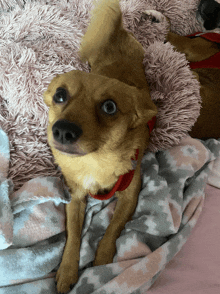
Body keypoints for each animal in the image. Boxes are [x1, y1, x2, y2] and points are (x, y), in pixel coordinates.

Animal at [43, 0, 156, 292]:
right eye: (60, 95)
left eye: (109, 107)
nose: (63, 130)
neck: (94, 160)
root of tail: (114, 30)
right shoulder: (75, 198)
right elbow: (73, 236)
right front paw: (67, 270)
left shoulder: (130, 194)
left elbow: (113, 227)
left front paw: (103, 258)